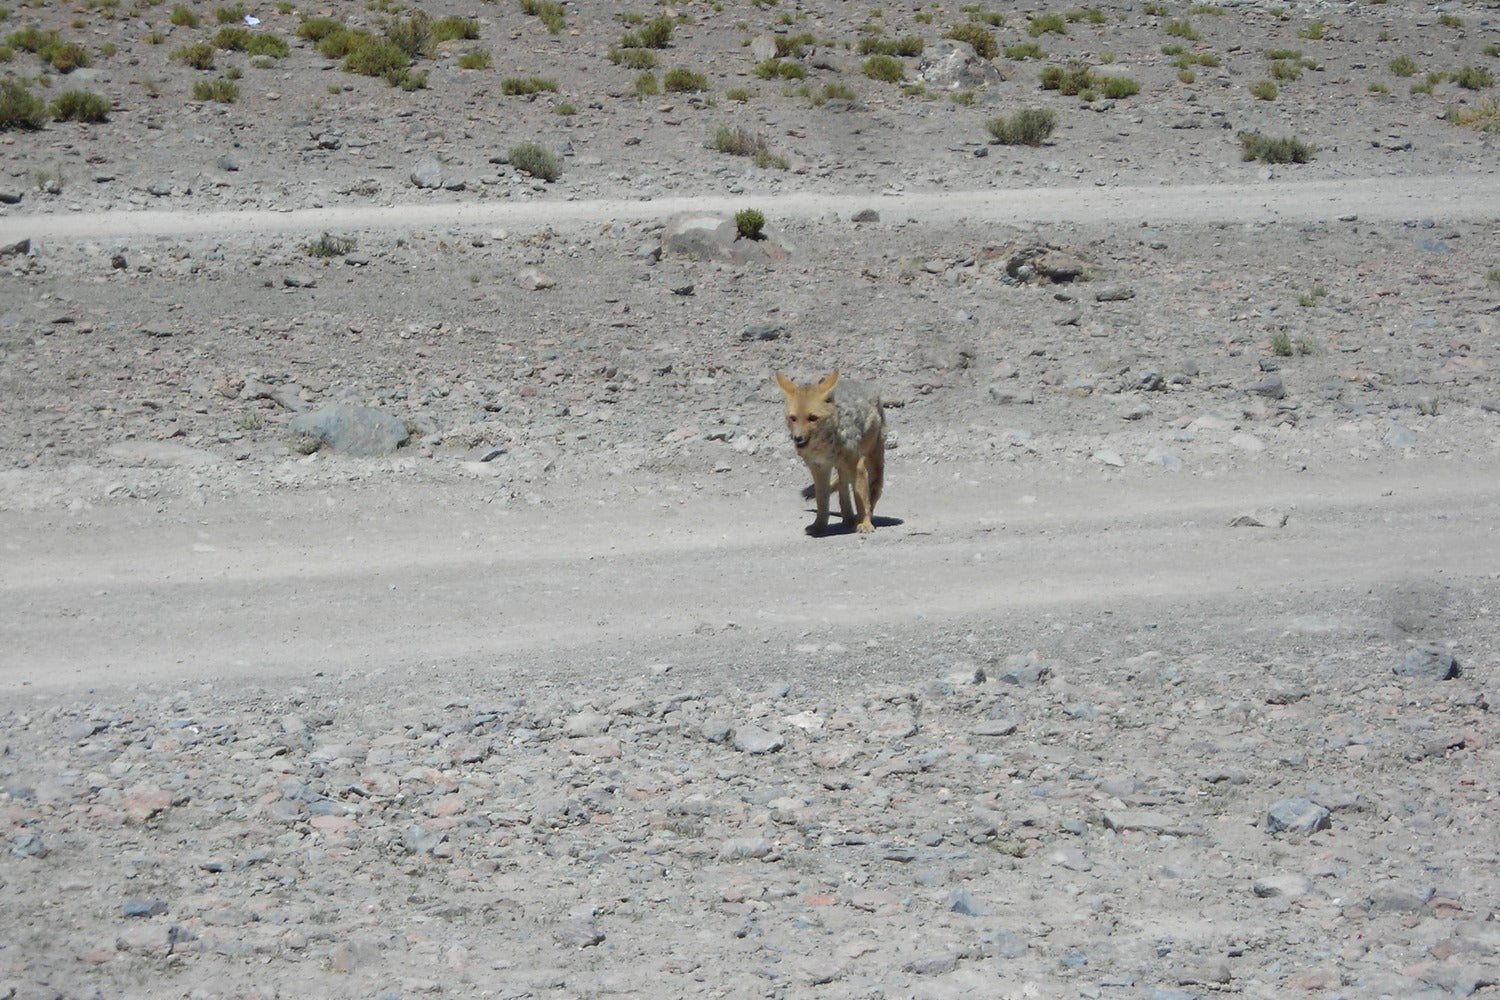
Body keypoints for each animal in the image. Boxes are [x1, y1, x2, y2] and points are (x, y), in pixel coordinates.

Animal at [774, 370, 886, 536]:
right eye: (793, 418)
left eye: (812, 418)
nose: (797, 438)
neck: (824, 449)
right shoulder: (819, 468)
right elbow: (822, 500)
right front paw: (819, 525)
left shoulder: (857, 465)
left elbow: (861, 498)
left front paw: (865, 523)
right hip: (842, 468)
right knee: (843, 491)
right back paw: (848, 519)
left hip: (872, 460)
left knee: (874, 490)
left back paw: (862, 517)